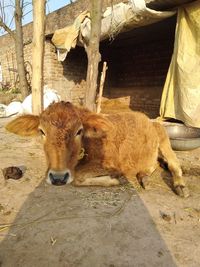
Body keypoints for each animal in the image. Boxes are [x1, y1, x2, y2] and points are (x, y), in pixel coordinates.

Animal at [5, 101, 189, 198]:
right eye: (42, 131)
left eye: (79, 131)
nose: (58, 178)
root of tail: (146, 118)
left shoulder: (113, 165)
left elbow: (78, 178)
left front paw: (113, 180)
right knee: (155, 164)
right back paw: (144, 176)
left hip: (163, 133)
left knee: (173, 162)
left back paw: (180, 185)